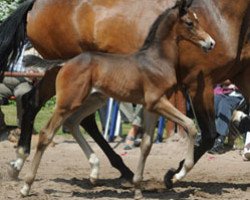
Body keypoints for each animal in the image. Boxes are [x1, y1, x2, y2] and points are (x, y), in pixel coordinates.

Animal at [0, 0, 249, 197]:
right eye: (190, 23)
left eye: (198, 20)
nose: (210, 43)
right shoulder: (194, 85)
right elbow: (198, 130)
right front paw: (174, 174)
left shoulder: (154, 104)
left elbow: (148, 144)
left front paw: (148, 182)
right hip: (69, 94)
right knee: (45, 123)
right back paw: (25, 176)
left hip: (94, 97)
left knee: (69, 118)